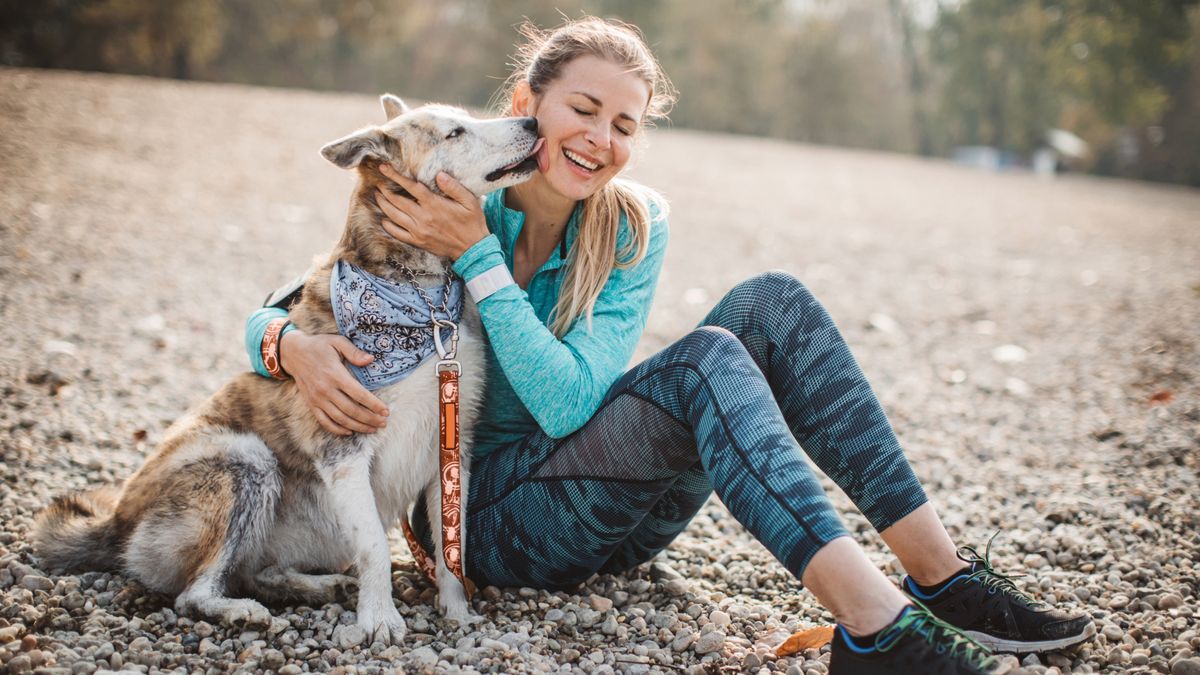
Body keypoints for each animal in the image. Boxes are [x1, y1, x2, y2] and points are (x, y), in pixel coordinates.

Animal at [32, 93, 542, 638]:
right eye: (454, 133)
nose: (534, 123)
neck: (421, 301)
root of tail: (115, 523)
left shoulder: (451, 451)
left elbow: (452, 549)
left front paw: (456, 609)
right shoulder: (345, 451)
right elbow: (376, 548)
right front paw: (379, 618)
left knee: (256, 572)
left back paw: (318, 587)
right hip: (245, 461)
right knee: (194, 593)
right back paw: (241, 611)